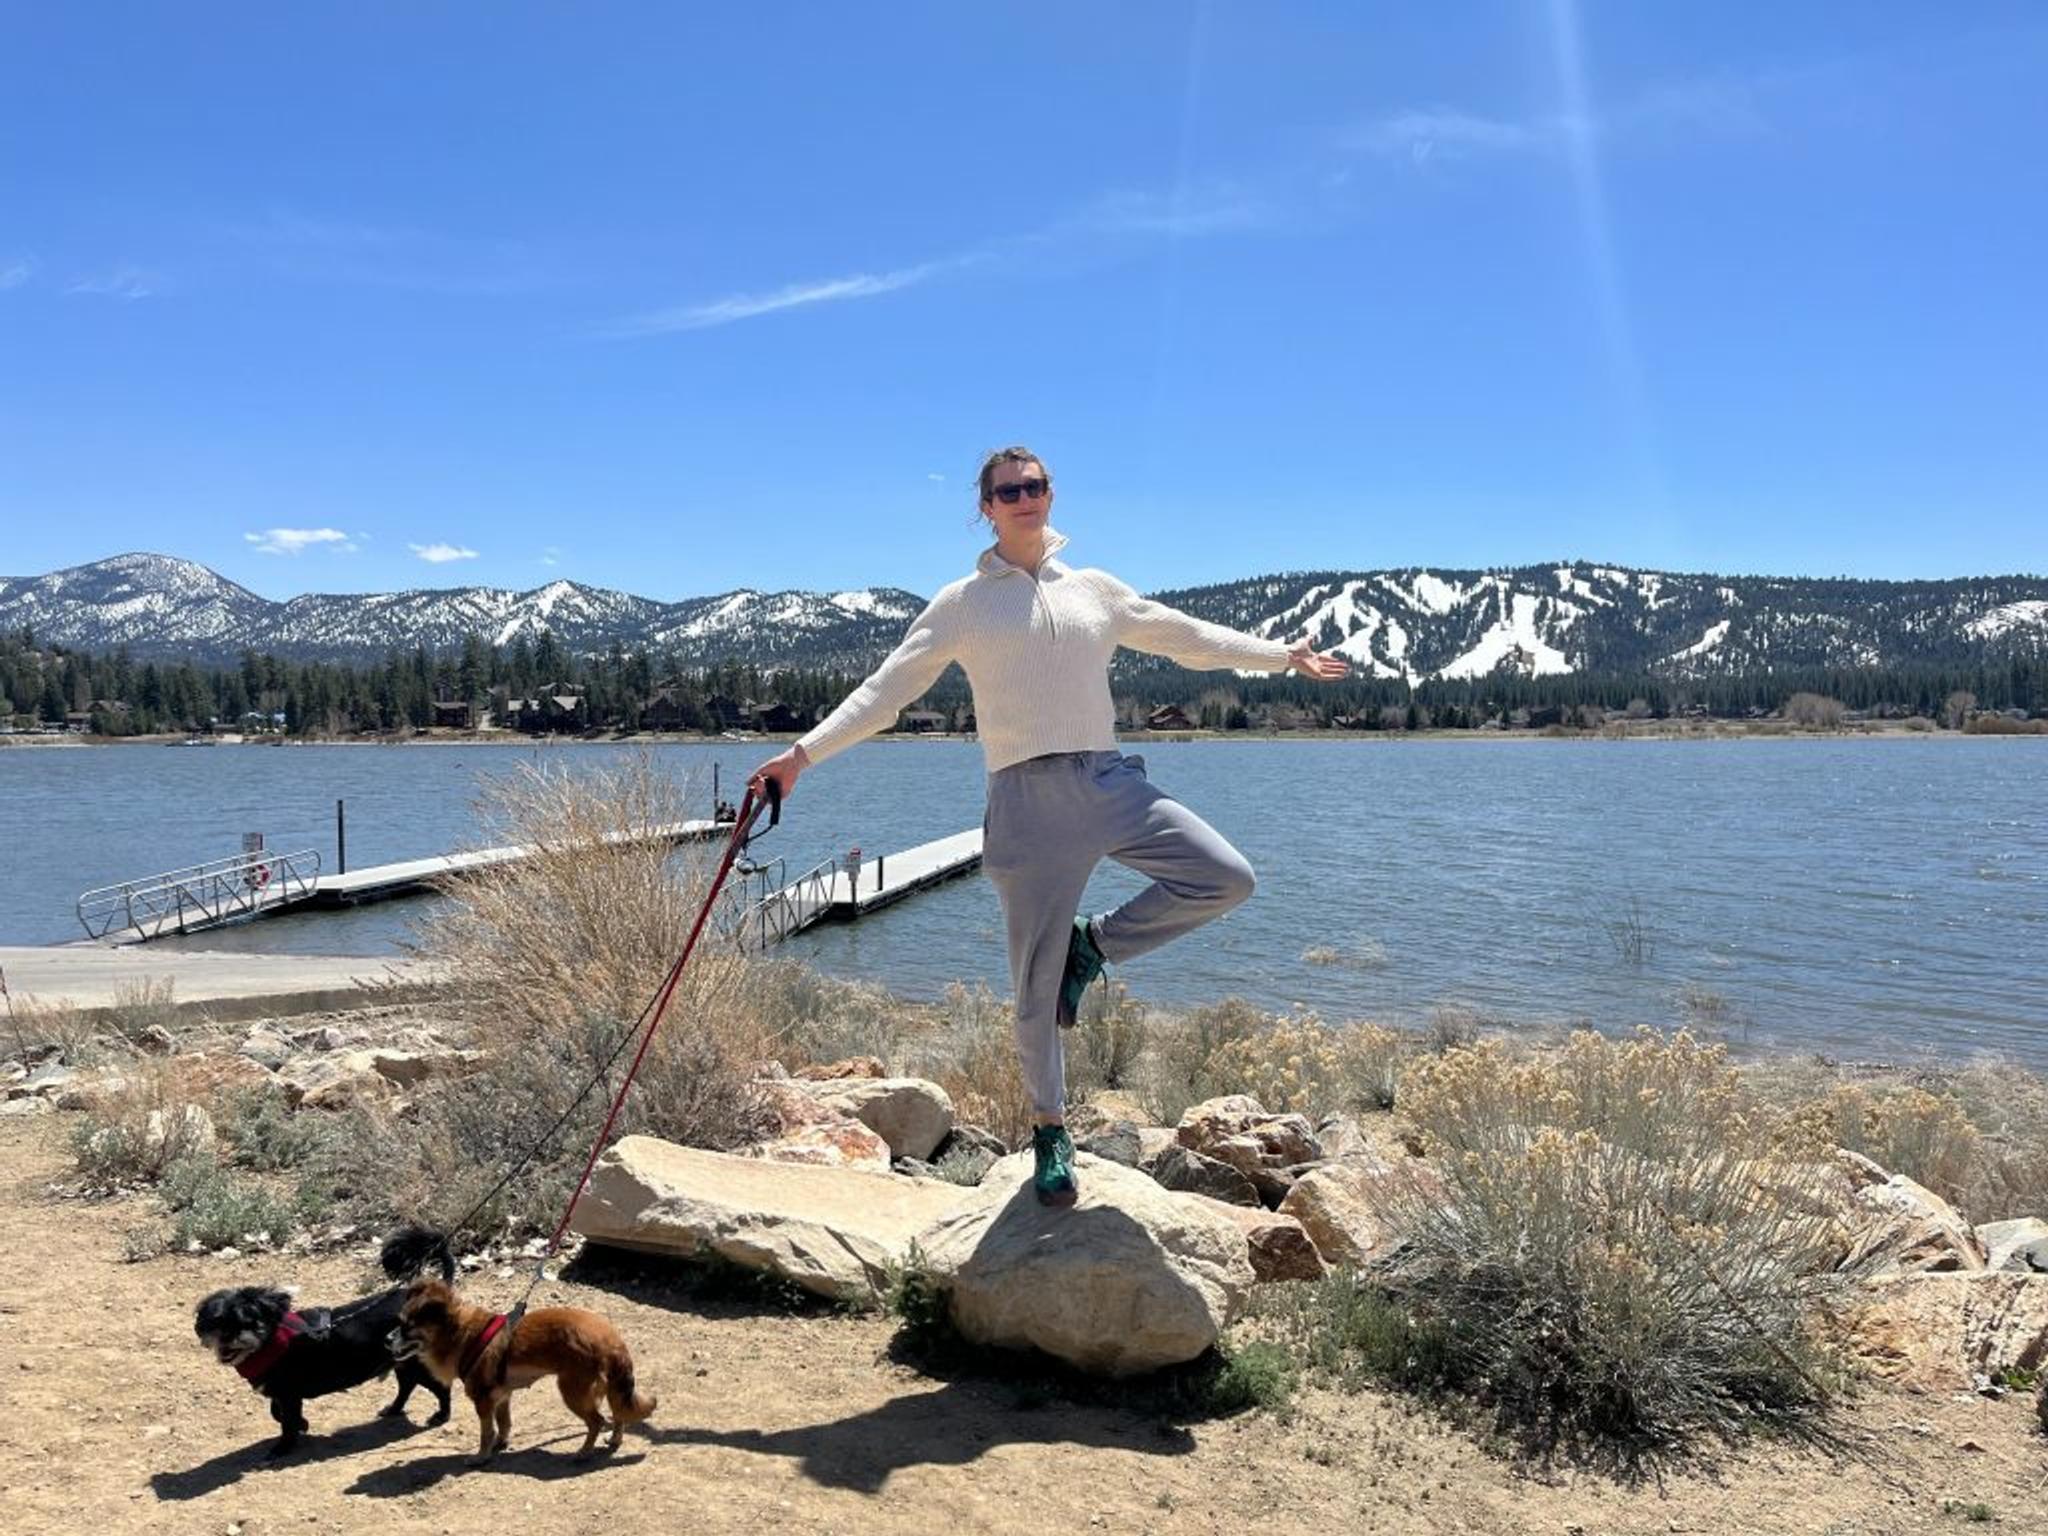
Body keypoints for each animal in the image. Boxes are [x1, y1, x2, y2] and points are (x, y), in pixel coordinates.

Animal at [191, 1228, 456, 1458]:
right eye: (216, 1322)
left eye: (247, 1321)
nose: (228, 1337)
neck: (270, 1342)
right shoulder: (283, 1394)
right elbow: (277, 1413)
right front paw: (302, 1424)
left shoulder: (289, 1393)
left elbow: (286, 1422)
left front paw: (284, 1446)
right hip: (401, 1361)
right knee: (407, 1386)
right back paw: (393, 1408)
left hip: (417, 1363)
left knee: (441, 1389)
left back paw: (441, 1415)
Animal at [391, 1277, 655, 1466]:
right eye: (399, 1322)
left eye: (407, 1327)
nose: (386, 1340)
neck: (462, 1335)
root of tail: (612, 1341)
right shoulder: (501, 1397)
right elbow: (504, 1423)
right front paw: (501, 1443)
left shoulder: (483, 1401)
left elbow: (486, 1432)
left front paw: (481, 1457)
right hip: (611, 1388)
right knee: (618, 1414)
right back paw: (614, 1440)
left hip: (573, 1391)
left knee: (597, 1421)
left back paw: (584, 1452)